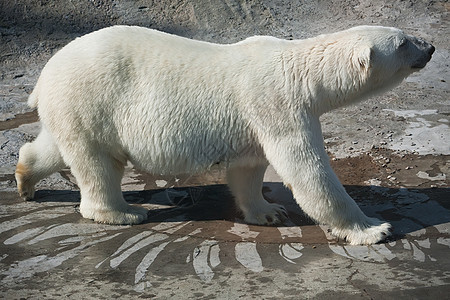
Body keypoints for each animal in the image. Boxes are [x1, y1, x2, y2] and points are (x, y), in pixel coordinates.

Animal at [15, 25, 434, 244]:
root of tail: (46, 74)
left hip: (71, 108)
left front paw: (268, 211)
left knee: (58, 146)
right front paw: (373, 228)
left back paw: (25, 180)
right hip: (94, 99)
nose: (430, 46)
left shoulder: (255, 121)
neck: (299, 72)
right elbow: (308, 171)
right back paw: (123, 213)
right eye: (403, 42)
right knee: (99, 163)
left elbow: (248, 169)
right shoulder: (279, 105)